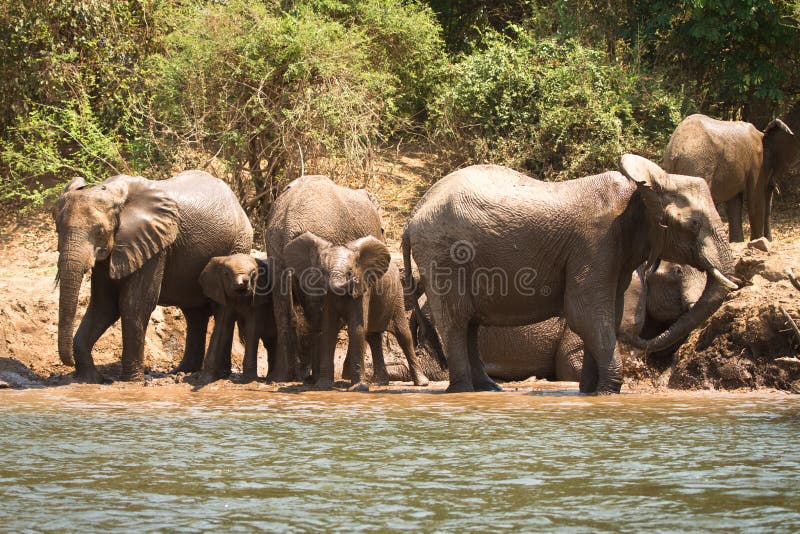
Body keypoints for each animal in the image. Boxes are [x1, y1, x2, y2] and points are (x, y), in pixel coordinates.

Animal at [53, 171, 253, 383]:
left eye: (99, 232)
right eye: (57, 229)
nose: (68, 363)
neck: (115, 193)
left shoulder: (155, 245)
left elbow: (134, 304)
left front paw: (131, 381)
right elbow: (104, 306)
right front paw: (89, 379)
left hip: (238, 244)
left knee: (221, 308)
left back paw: (213, 375)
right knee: (194, 314)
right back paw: (184, 371)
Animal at [265, 175, 388, 388]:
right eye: (382, 230)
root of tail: (288, 223)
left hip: (274, 250)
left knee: (283, 310)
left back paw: (283, 377)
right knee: (316, 315)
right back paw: (312, 378)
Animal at [285, 234, 430, 388]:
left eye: (350, 272)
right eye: (323, 271)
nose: (351, 282)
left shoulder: (363, 288)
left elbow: (356, 329)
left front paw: (359, 387)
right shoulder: (328, 296)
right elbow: (328, 329)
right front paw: (323, 386)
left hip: (397, 296)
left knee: (403, 335)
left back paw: (421, 383)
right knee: (373, 338)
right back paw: (380, 382)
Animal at [402, 155, 737, 394]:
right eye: (693, 224)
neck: (640, 190)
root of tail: (413, 214)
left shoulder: (614, 253)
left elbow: (606, 315)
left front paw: (592, 392)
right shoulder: (594, 243)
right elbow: (586, 314)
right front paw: (608, 391)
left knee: (470, 322)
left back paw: (488, 389)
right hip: (442, 252)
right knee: (457, 320)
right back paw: (462, 390)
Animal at [663, 114, 799, 242]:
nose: (770, 240)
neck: (763, 135)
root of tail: (676, 151)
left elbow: (735, 203)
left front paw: (737, 242)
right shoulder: (756, 163)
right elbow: (755, 200)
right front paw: (757, 240)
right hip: (697, 164)